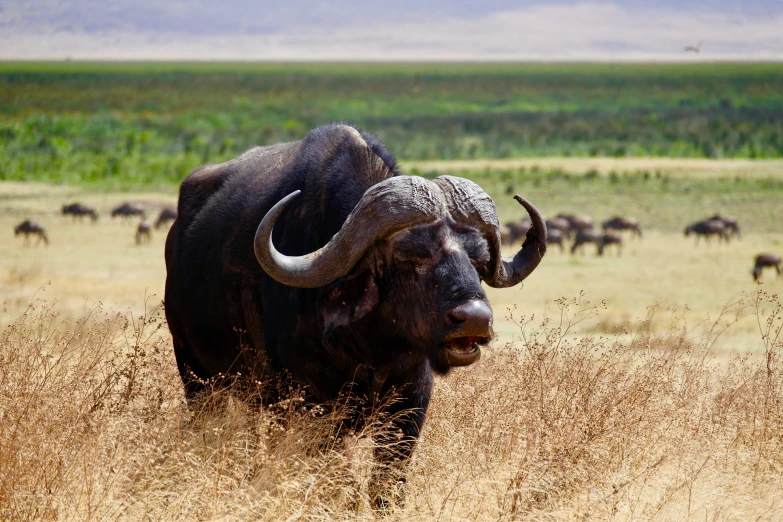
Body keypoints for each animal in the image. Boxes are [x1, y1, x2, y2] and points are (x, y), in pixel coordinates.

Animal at [163, 123, 548, 504]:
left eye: (479, 260)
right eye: (409, 257)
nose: (475, 318)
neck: (370, 349)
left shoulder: (409, 407)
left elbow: (387, 483)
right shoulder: (307, 407)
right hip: (197, 377)